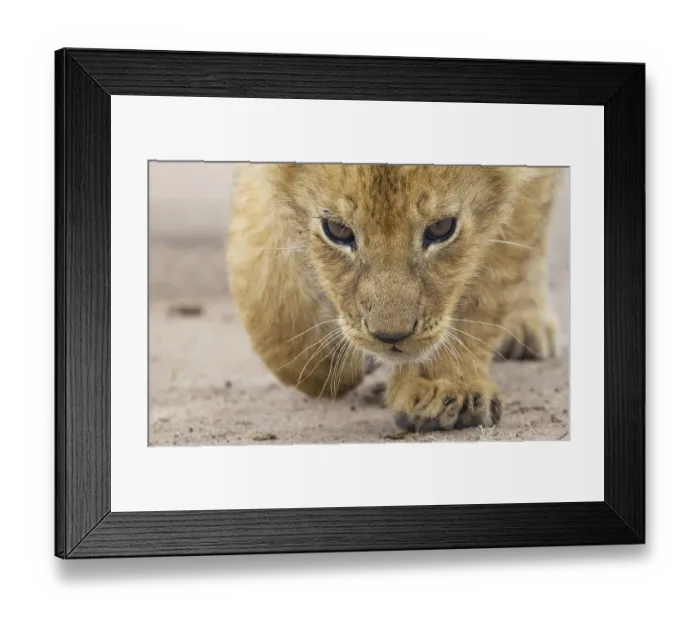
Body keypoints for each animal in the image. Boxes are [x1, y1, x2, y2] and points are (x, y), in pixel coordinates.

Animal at [226, 163, 563, 433]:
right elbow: (262, 264)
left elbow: (484, 285)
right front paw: (322, 364)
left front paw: (445, 386)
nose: (390, 337)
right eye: (337, 229)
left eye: (441, 227)